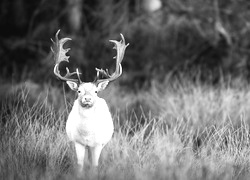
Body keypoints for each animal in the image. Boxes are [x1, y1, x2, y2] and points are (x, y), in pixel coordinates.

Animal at [50, 30, 129, 174]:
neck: (87, 134)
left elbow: (94, 165)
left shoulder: (97, 144)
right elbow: (80, 164)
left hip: (103, 142)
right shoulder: (78, 142)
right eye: (79, 91)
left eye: (96, 91)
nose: (87, 98)